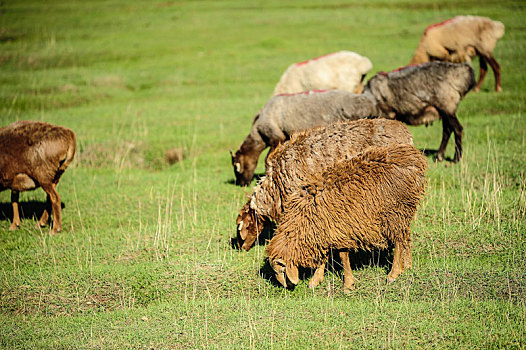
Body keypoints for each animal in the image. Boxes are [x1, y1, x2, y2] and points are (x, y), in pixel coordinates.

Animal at [231, 89, 380, 186]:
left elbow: (268, 159)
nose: (241, 184)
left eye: (236, 166)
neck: (259, 135)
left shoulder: (276, 138)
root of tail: (369, 104)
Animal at [266, 144, 432, 292]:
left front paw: (347, 285)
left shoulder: (340, 229)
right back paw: (408, 265)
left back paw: (394, 273)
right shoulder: (325, 231)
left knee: (398, 241)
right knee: (406, 237)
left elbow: (343, 257)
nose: (287, 288)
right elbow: (324, 256)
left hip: (394, 213)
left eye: (280, 270)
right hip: (404, 211)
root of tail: (414, 157)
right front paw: (315, 280)